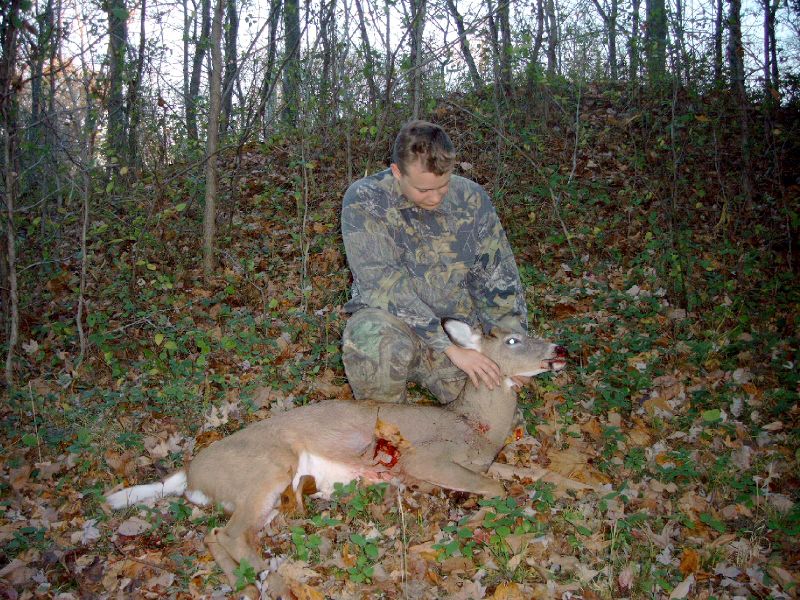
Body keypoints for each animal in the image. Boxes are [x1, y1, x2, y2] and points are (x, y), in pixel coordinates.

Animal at [106, 320, 568, 590]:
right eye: (513, 339)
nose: (558, 350)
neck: (474, 427)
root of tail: (189, 473)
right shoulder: (425, 460)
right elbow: (495, 487)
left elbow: (542, 474)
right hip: (267, 469)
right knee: (230, 534)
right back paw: (271, 578)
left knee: (216, 535)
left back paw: (248, 581)